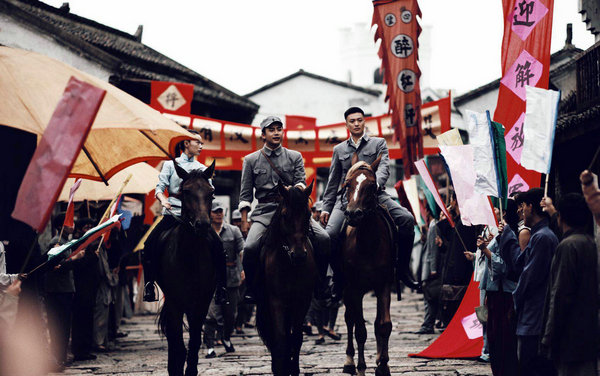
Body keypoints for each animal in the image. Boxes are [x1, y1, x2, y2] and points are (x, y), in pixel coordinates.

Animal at [157, 162, 218, 376]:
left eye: (211, 192)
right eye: (186, 191)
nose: (203, 225)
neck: (189, 256)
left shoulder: (201, 302)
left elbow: (194, 341)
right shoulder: (175, 301)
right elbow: (177, 343)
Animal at [254, 182, 316, 376]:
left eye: (308, 214)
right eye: (284, 215)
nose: (299, 256)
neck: (289, 264)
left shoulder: (302, 300)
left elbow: (295, 337)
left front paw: (292, 368)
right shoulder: (276, 301)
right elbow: (280, 337)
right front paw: (280, 368)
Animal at [340, 153, 396, 376]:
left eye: (372, 186)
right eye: (348, 184)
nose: (353, 214)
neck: (367, 244)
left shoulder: (384, 284)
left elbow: (384, 325)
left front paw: (383, 364)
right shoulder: (354, 288)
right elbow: (360, 330)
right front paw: (361, 367)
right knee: (350, 320)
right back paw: (349, 361)